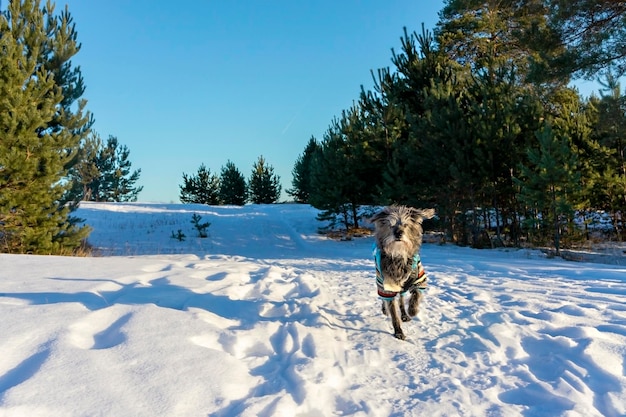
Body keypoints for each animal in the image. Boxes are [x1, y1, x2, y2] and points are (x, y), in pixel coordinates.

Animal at [368, 204, 432, 338]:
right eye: (390, 225)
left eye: (406, 224)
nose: (398, 233)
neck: (398, 254)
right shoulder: (387, 288)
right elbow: (393, 312)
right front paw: (398, 331)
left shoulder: (419, 279)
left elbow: (416, 295)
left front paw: (412, 310)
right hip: (380, 284)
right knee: (384, 300)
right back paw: (385, 309)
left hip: (402, 289)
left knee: (402, 301)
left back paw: (404, 314)